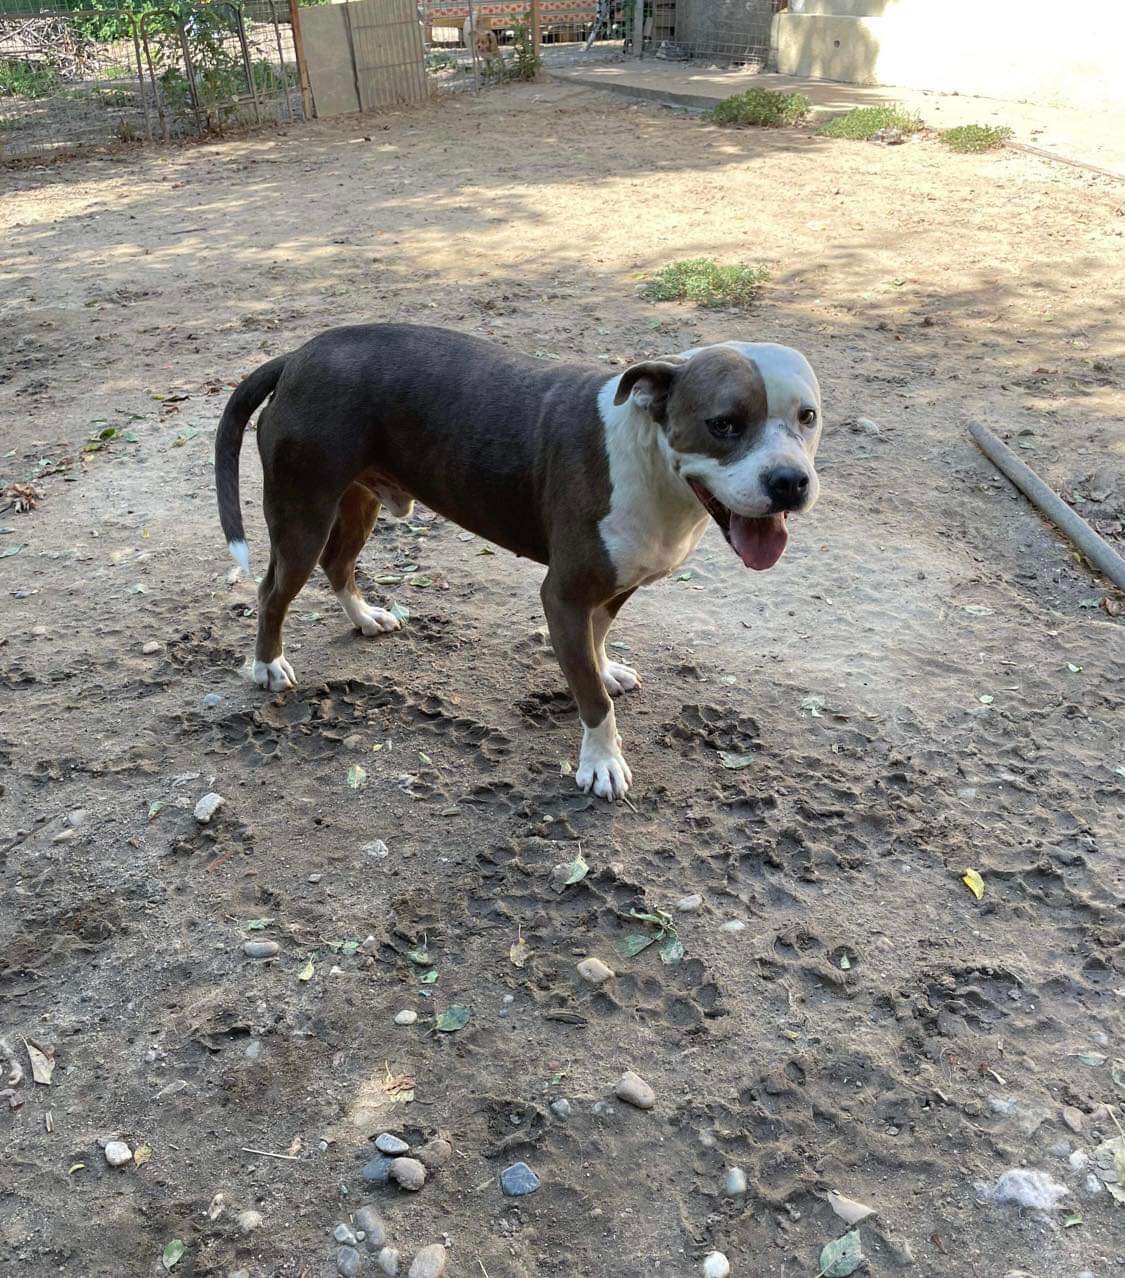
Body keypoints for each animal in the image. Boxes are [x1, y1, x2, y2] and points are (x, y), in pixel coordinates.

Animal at [215, 324, 822, 800]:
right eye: (724, 423)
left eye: (808, 417)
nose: (790, 481)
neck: (653, 462)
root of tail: (299, 355)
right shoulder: (564, 593)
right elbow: (594, 700)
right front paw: (601, 762)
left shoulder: (619, 579)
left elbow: (598, 639)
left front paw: (603, 667)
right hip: (303, 514)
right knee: (274, 592)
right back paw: (268, 665)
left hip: (358, 500)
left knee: (338, 565)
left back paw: (365, 619)